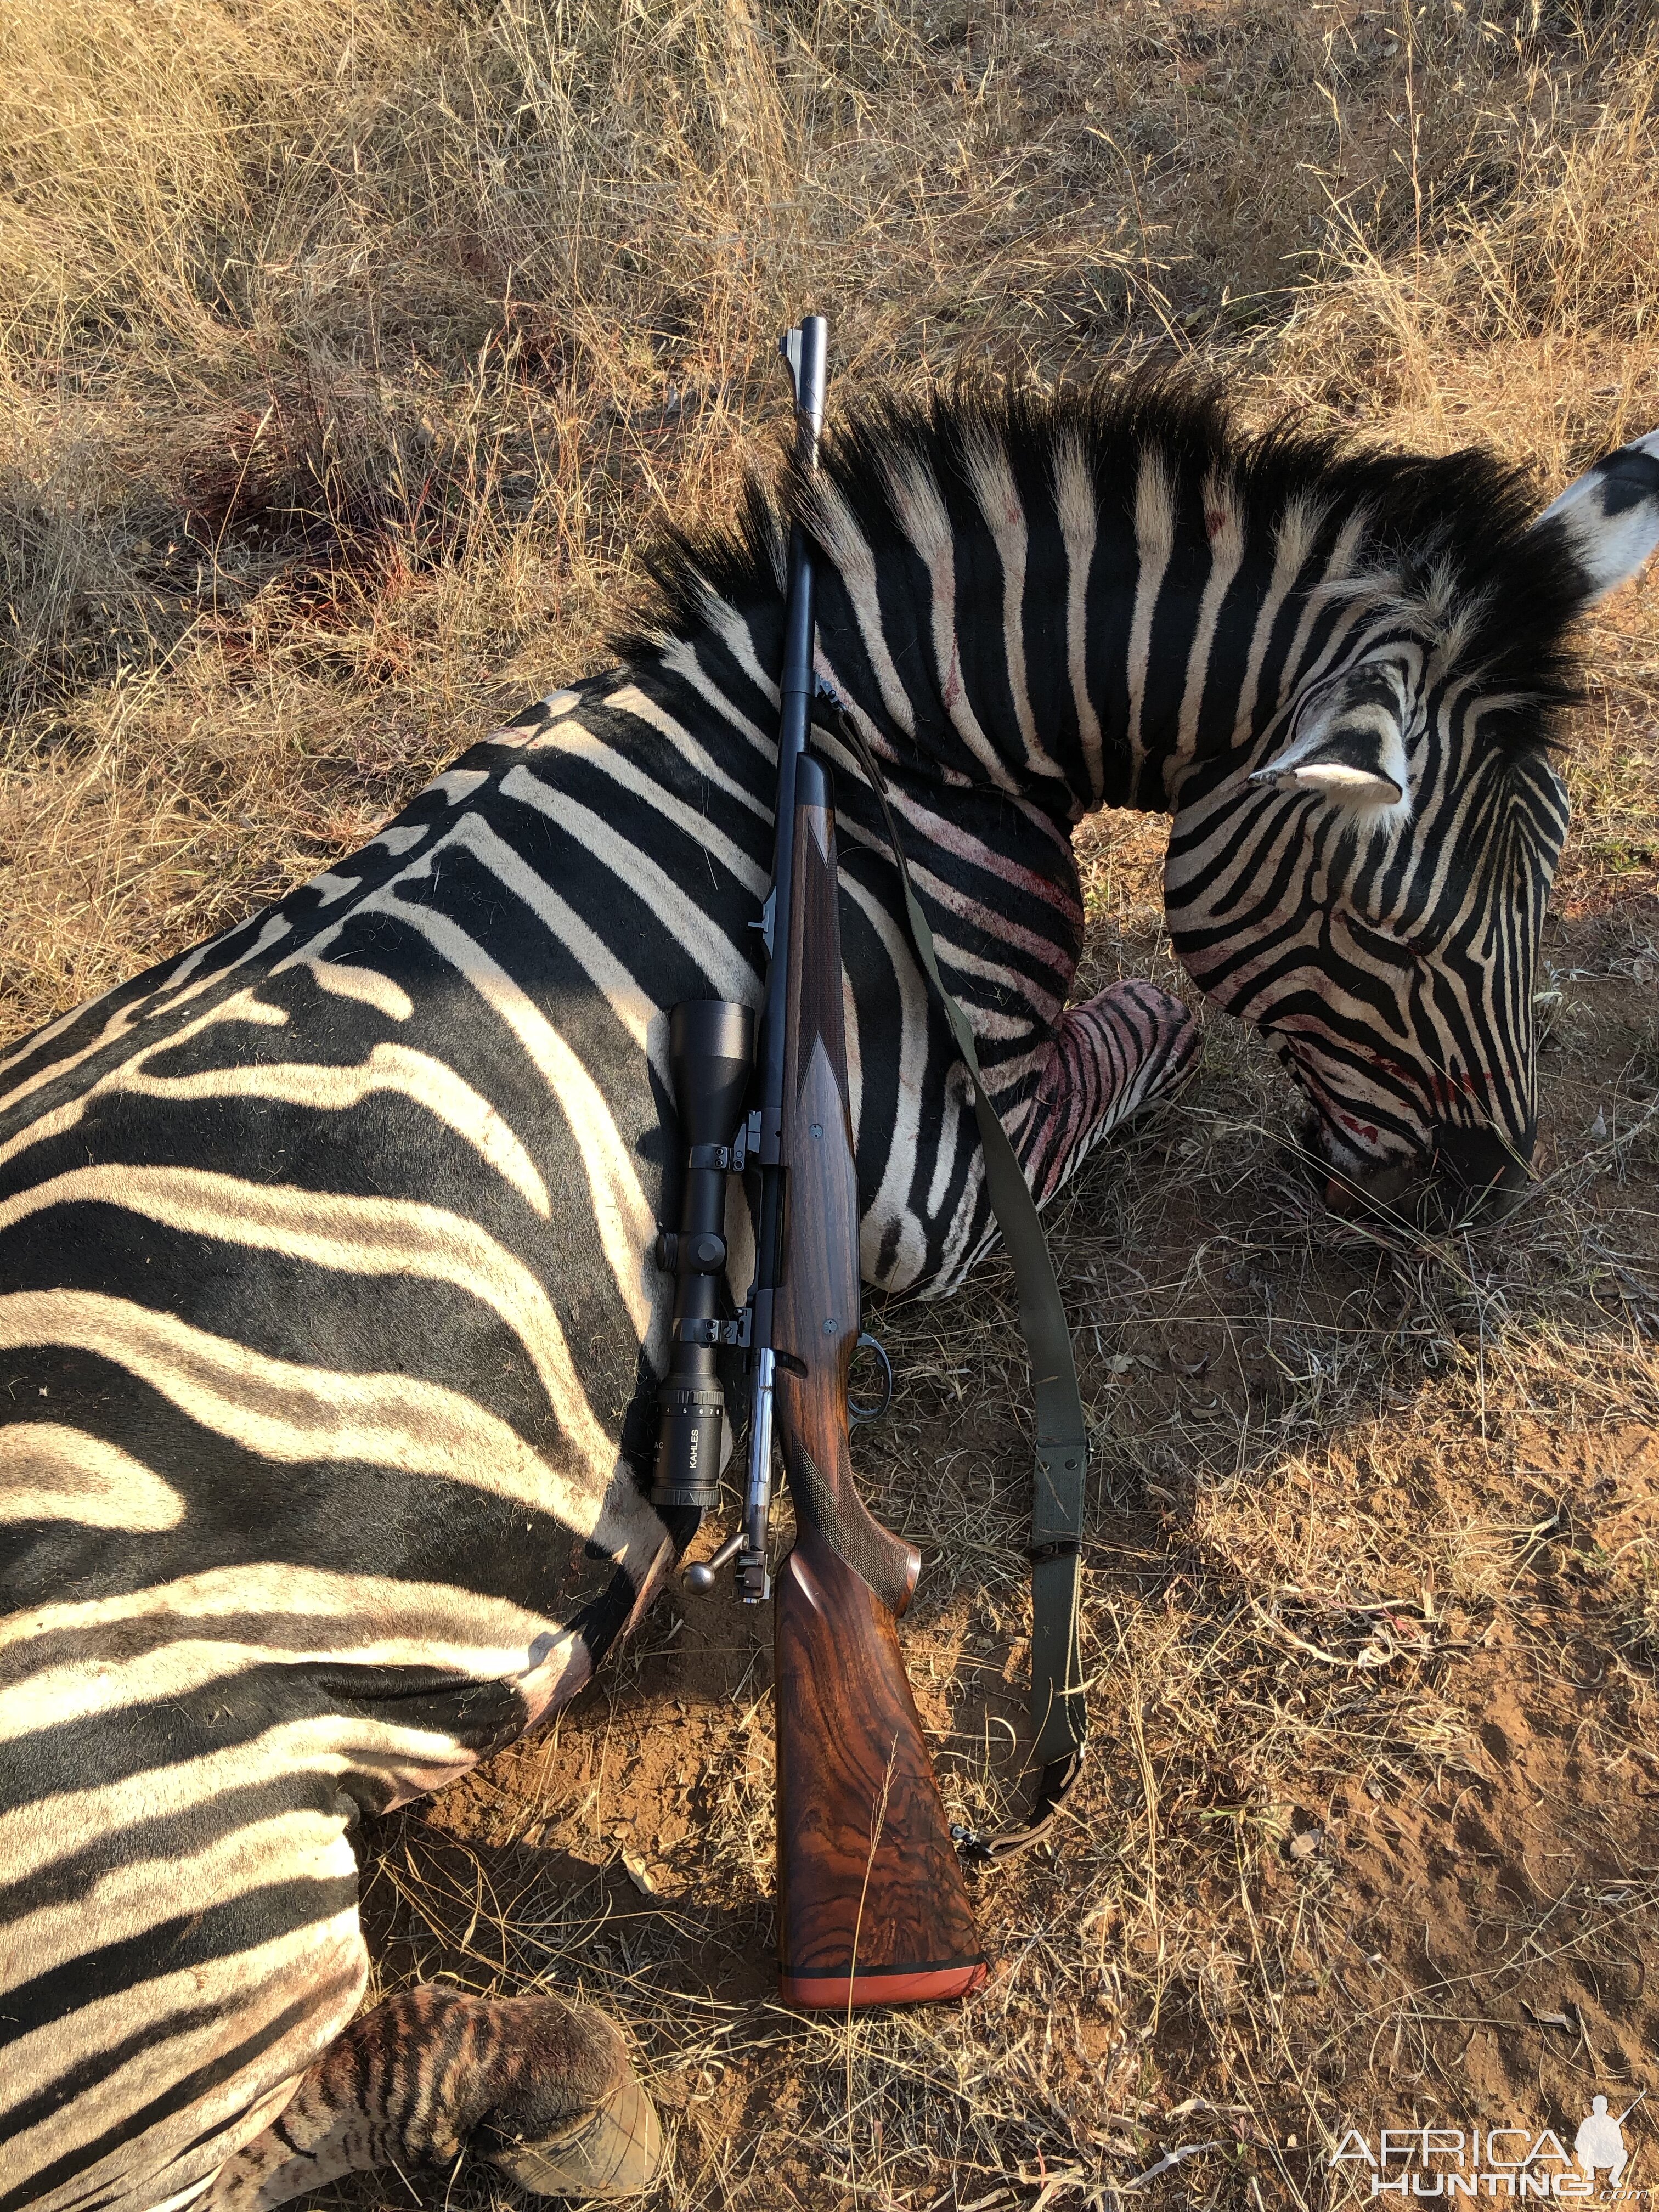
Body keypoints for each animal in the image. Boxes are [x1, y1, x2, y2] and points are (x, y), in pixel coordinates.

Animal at [3, 380, 1659, 2212]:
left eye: (1556, 873)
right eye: (1391, 928)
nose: (1480, 1200)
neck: (883, 745)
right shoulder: (944, 1186)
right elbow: (1140, 1030)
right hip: (175, 1925)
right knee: (256, 2133)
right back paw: (573, 2101)